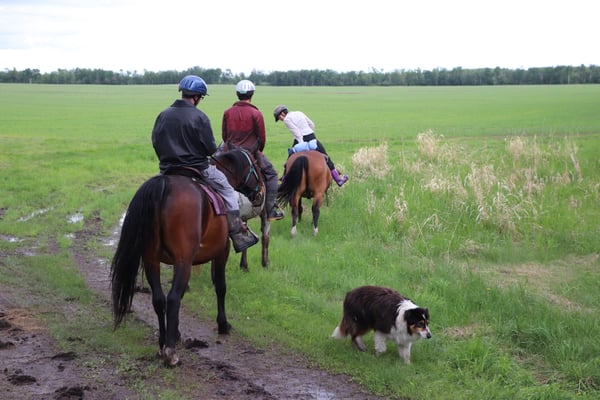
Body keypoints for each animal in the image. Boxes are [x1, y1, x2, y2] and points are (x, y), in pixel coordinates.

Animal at [111, 173, 231, 366]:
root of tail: (164, 184)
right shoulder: (222, 250)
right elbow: (220, 287)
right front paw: (223, 324)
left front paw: (175, 332)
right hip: (184, 260)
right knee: (172, 299)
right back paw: (171, 352)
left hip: (151, 259)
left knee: (159, 299)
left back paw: (162, 343)